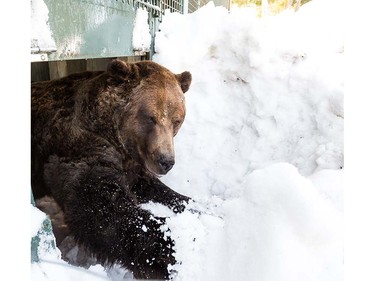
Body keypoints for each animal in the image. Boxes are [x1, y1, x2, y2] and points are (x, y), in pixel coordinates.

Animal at [30, 59, 192, 278]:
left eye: (177, 120)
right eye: (151, 117)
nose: (166, 161)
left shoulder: (133, 167)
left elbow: (157, 189)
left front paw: (196, 205)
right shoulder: (78, 148)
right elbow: (101, 205)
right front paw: (168, 250)